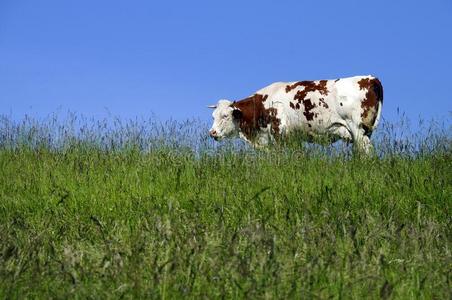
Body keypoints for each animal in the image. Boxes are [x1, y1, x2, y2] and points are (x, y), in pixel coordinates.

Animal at [207, 75, 382, 152]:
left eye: (225, 116)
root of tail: (370, 78)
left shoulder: (278, 132)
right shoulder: (293, 138)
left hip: (357, 129)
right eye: (213, 116)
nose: (212, 132)